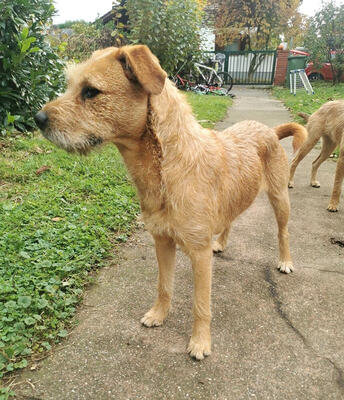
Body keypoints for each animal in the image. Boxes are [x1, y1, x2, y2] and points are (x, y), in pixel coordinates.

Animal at [35, 45, 306, 360]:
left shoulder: (199, 255)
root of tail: (270, 130)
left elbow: (201, 305)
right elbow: (164, 286)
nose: (37, 119)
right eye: (70, 85)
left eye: (91, 91)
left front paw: (200, 342)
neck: (167, 166)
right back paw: (222, 242)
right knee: (230, 220)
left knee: (283, 232)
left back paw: (285, 261)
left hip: (280, 199)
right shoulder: (162, 242)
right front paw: (158, 315)